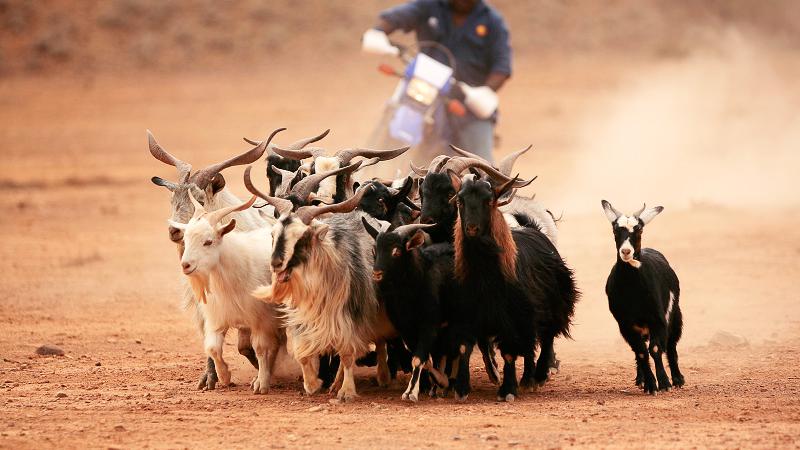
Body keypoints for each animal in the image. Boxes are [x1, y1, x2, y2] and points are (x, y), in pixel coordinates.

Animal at [450, 172, 576, 400]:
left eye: (488, 201)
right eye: (459, 200)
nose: (471, 228)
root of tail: (533, 228)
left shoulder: (513, 317)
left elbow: (510, 352)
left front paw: (508, 390)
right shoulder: (466, 313)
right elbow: (464, 347)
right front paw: (461, 388)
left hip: (554, 303)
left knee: (546, 337)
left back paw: (538, 376)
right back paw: (527, 379)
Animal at [604, 200, 684, 394]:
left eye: (639, 229)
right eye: (615, 230)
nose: (626, 251)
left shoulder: (658, 319)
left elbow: (655, 349)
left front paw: (664, 383)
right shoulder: (626, 325)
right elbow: (641, 352)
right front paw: (650, 385)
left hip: (675, 316)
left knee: (671, 345)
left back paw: (678, 379)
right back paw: (640, 379)